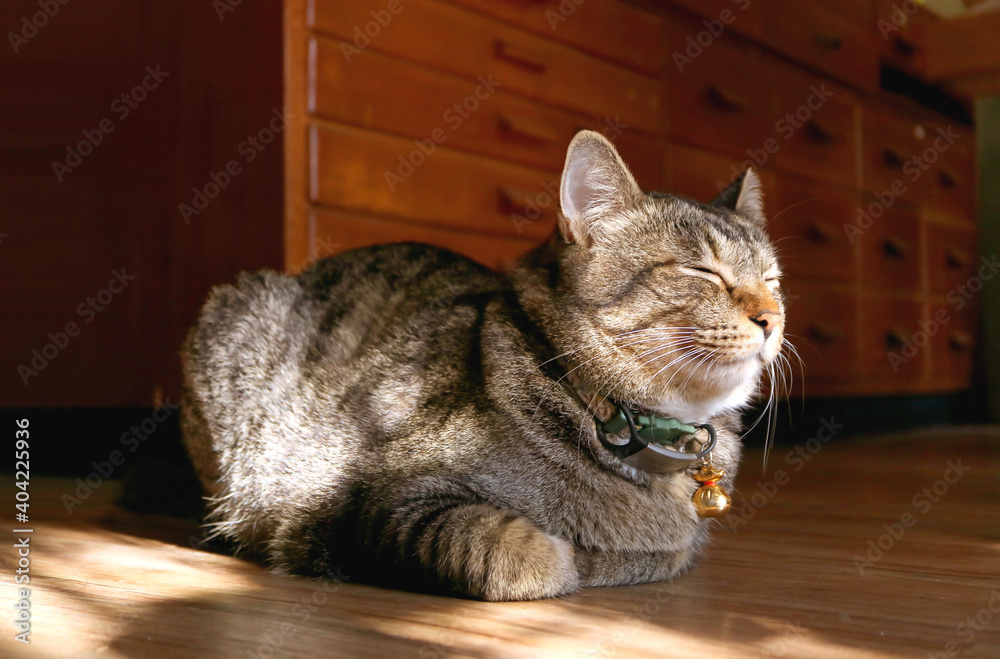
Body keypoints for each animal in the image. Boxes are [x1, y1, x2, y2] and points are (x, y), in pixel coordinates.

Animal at [184, 129, 784, 604]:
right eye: (702, 271)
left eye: (773, 280)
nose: (773, 317)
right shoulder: (371, 506)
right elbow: (512, 551)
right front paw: (570, 555)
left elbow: (666, 550)